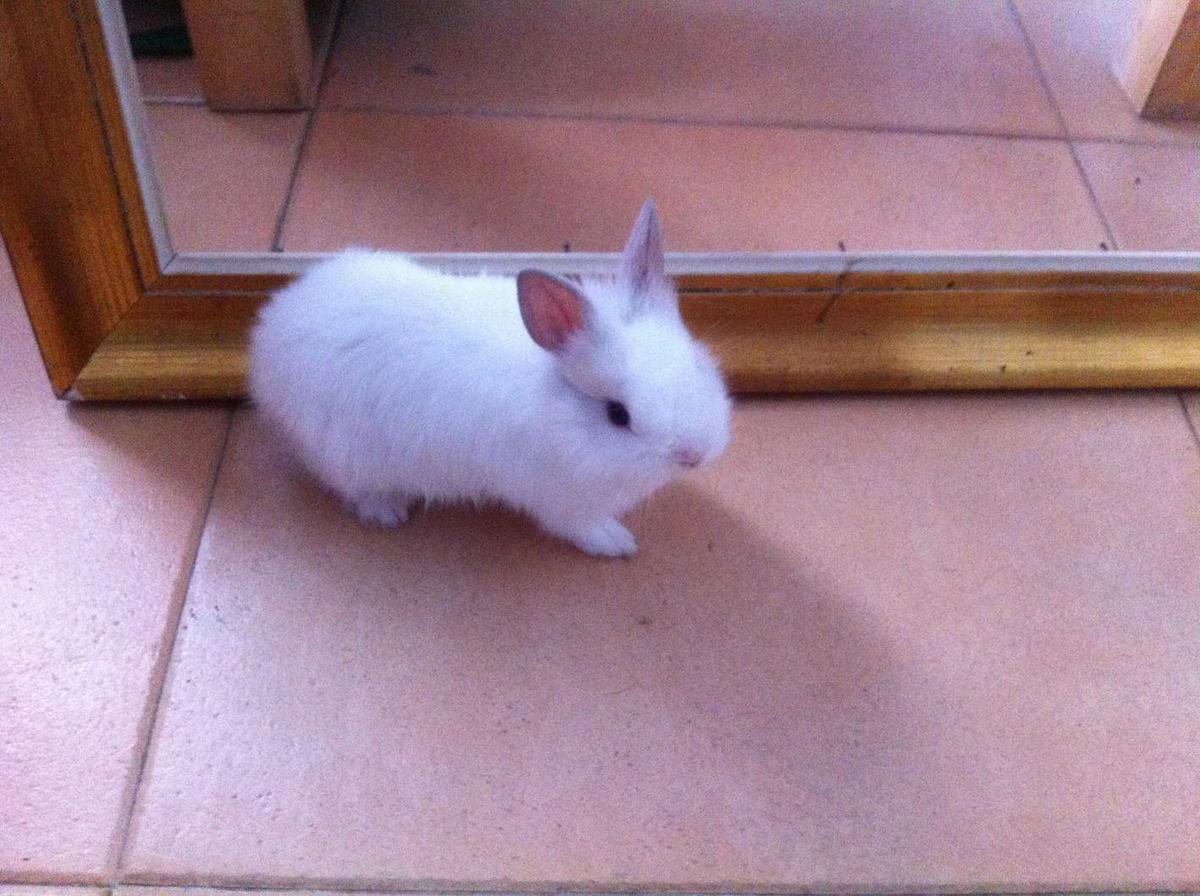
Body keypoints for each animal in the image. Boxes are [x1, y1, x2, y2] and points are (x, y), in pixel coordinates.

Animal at [248, 200, 731, 557]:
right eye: (617, 414)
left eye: (696, 362)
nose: (693, 455)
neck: (558, 411)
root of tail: (272, 332)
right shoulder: (557, 499)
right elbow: (581, 526)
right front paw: (618, 543)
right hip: (348, 456)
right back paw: (388, 511)